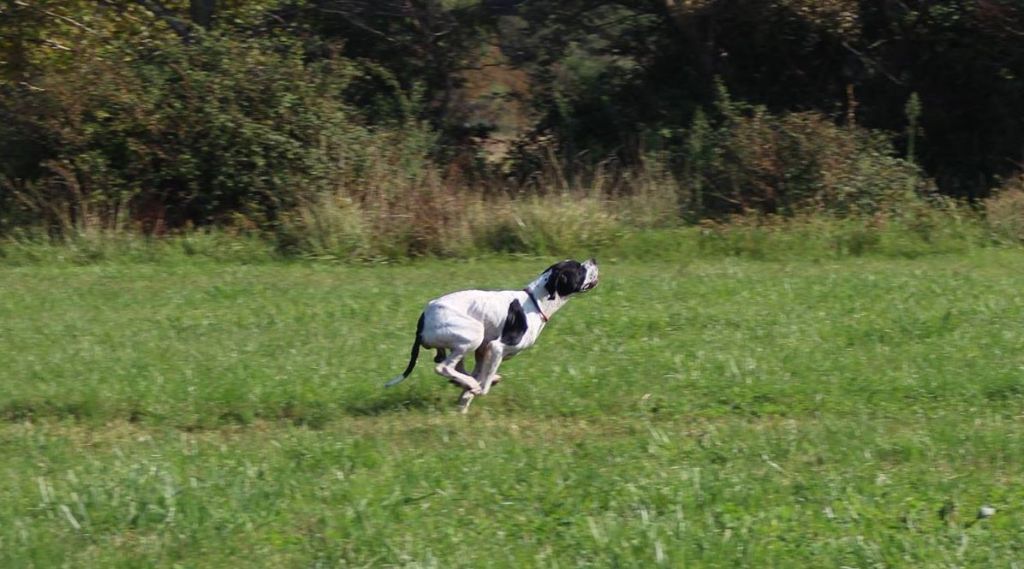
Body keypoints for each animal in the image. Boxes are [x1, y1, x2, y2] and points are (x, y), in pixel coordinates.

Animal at [385, 259, 598, 411]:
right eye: (578, 268)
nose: (594, 260)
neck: (535, 302)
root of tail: (423, 317)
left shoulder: (484, 351)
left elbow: (481, 375)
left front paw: (465, 399)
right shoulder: (496, 347)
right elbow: (483, 384)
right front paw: (475, 390)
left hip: (462, 345)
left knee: (456, 368)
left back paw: (464, 382)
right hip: (474, 334)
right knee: (443, 368)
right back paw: (469, 382)